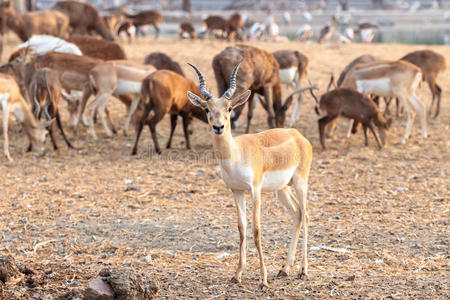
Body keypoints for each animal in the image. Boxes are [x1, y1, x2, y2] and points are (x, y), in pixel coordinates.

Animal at [185, 62, 312, 288]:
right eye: (207, 109)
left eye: (229, 108)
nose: (218, 127)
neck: (236, 153)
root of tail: (298, 135)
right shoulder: (236, 191)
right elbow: (242, 229)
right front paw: (237, 274)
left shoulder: (255, 190)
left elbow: (256, 230)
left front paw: (263, 279)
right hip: (282, 189)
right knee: (297, 213)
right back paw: (285, 269)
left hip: (300, 182)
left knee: (305, 214)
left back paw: (303, 270)